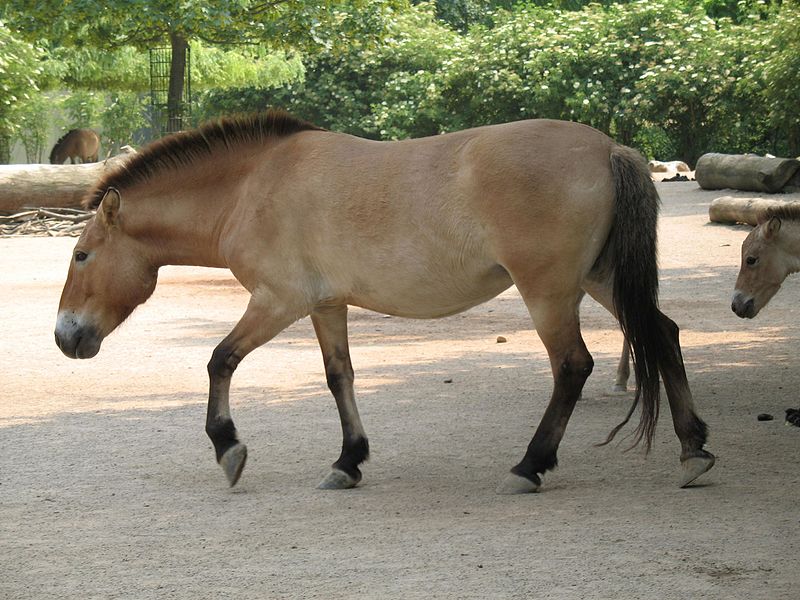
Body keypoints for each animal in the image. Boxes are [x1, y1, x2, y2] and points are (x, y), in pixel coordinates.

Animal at [57, 111, 720, 492]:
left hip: (551, 291)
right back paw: (692, 450)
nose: (66, 336)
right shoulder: (325, 305)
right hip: (600, 280)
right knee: (663, 334)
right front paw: (348, 461)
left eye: (82, 255)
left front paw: (229, 448)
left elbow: (220, 360)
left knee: (572, 367)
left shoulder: (278, 301)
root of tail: (611, 149)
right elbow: (339, 377)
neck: (251, 186)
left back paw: (529, 466)